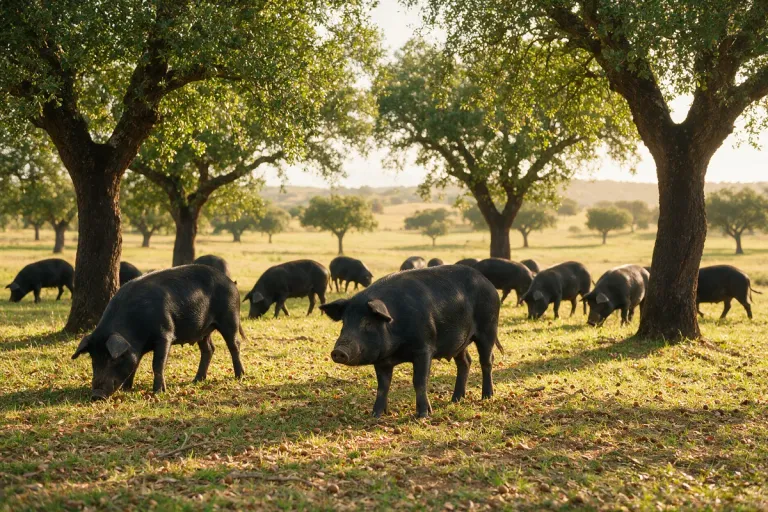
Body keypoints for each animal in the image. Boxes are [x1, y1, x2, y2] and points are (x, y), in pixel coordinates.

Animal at [71, 264, 245, 400]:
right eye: (94, 359)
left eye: (112, 359)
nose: (97, 395)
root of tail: (231, 282)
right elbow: (135, 364)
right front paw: (127, 389)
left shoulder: (165, 334)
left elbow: (157, 363)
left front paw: (158, 392)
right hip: (203, 330)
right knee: (209, 349)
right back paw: (196, 380)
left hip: (230, 318)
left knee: (234, 345)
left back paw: (239, 376)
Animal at [320, 265, 502, 418]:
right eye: (344, 322)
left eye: (368, 323)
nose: (338, 351)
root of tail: (487, 282)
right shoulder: (382, 360)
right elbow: (383, 386)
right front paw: (376, 415)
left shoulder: (424, 349)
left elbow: (419, 381)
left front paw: (423, 415)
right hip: (460, 342)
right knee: (465, 362)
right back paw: (455, 399)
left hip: (488, 328)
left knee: (487, 361)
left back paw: (487, 397)